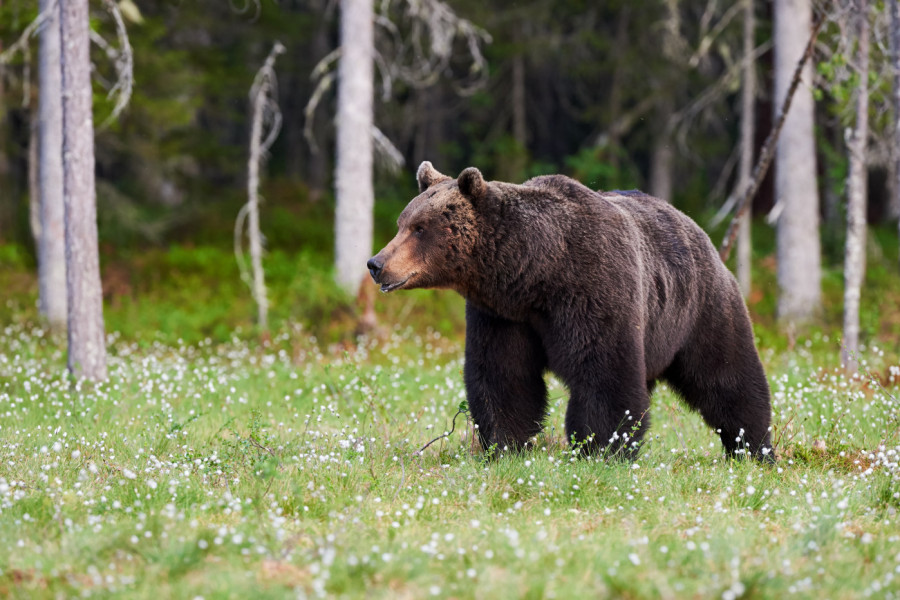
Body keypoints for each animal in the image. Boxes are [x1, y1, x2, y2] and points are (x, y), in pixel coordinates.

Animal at [366, 161, 772, 460]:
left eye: (420, 228)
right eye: (403, 223)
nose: (376, 263)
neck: (535, 273)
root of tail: (695, 226)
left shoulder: (593, 290)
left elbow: (604, 374)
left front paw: (600, 448)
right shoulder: (502, 315)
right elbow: (503, 375)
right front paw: (506, 444)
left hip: (698, 308)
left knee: (726, 374)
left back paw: (753, 448)